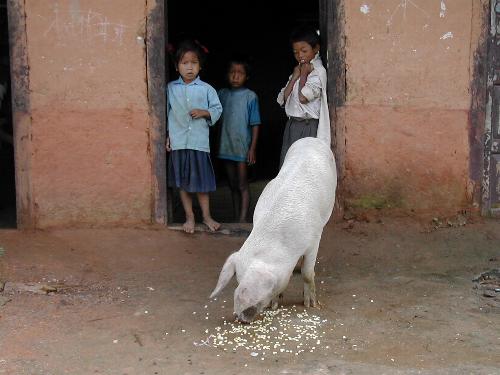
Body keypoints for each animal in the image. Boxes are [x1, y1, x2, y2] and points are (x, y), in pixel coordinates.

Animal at [209, 137, 338, 324]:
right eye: (237, 280)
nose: (242, 319)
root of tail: (313, 139)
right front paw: (275, 304)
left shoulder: (314, 239)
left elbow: (308, 273)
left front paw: (311, 304)